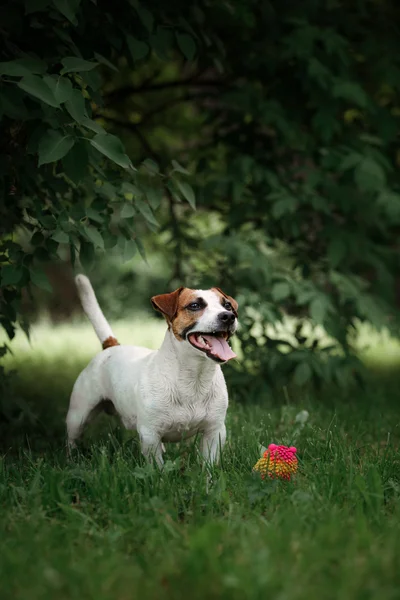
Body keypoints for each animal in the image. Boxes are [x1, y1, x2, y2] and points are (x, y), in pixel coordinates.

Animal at [67, 274, 239, 466]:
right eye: (194, 306)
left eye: (227, 305)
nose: (229, 316)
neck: (194, 377)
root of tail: (112, 346)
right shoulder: (150, 434)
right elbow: (157, 466)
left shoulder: (214, 431)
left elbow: (209, 463)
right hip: (78, 415)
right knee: (72, 438)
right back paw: (71, 458)